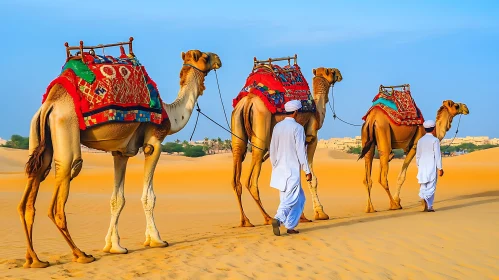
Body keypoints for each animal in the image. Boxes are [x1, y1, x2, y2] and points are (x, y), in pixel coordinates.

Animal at [17, 49, 222, 266]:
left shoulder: (121, 152)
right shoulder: (154, 142)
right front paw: (156, 240)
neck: (170, 114)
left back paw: (34, 260)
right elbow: (149, 197)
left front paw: (114, 246)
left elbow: (117, 199)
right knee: (64, 183)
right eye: (205, 56)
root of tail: (51, 105)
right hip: (65, 125)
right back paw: (81, 255)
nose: (218, 59)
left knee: (33, 184)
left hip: (39, 135)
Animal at [231, 66, 342, 226]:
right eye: (331, 71)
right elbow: (311, 178)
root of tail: (248, 101)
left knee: (236, 173)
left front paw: (302, 216)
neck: (317, 112)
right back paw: (267, 218)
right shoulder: (311, 139)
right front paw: (320, 213)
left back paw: (245, 221)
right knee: (251, 181)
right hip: (261, 128)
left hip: (237, 128)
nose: (339, 74)